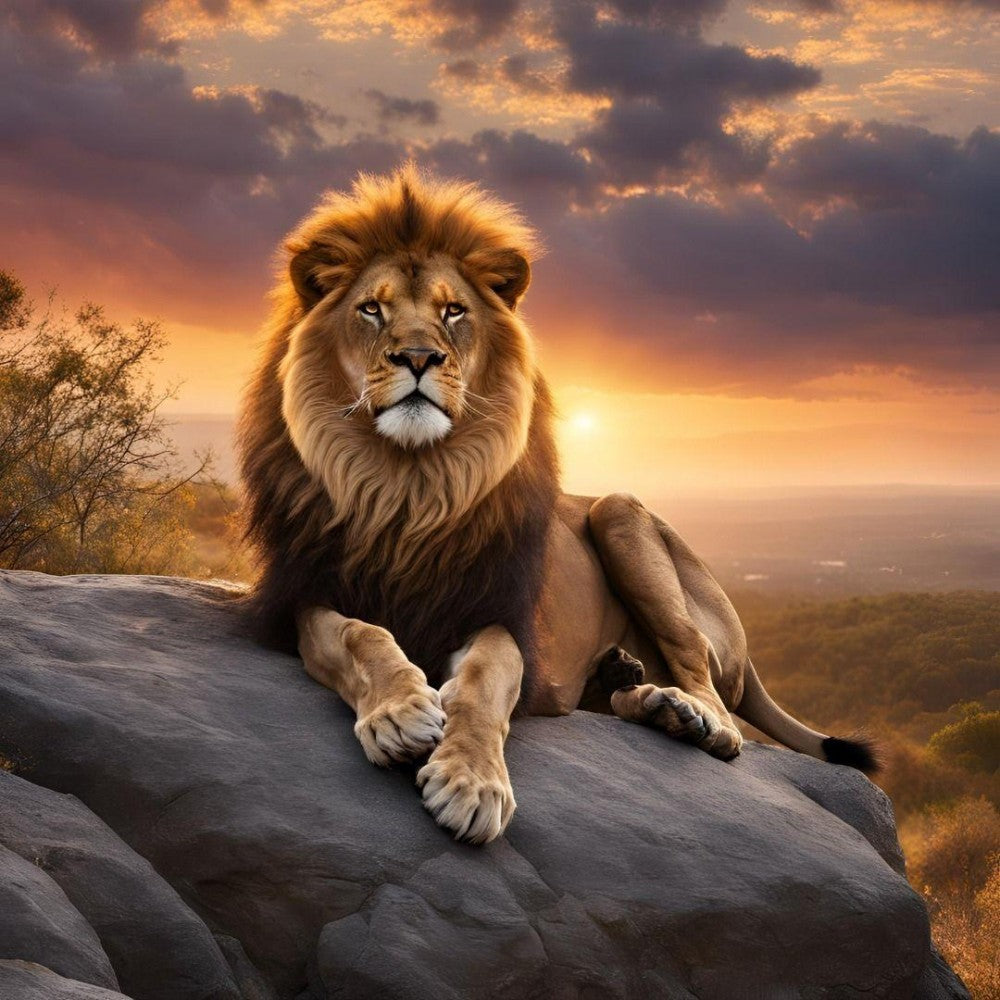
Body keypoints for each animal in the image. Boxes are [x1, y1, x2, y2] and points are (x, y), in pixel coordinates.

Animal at [237, 165, 876, 844]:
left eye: (453, 311)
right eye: (371, 309)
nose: (418, 358)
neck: (407, 486)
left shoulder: (499, 612)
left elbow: (484, 679)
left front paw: (472, 783)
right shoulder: (304, 593)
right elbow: (357, 633)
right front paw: (400, 711)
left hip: (620, 513)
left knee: (717, 704)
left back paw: (681, 711)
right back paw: (636, 689)